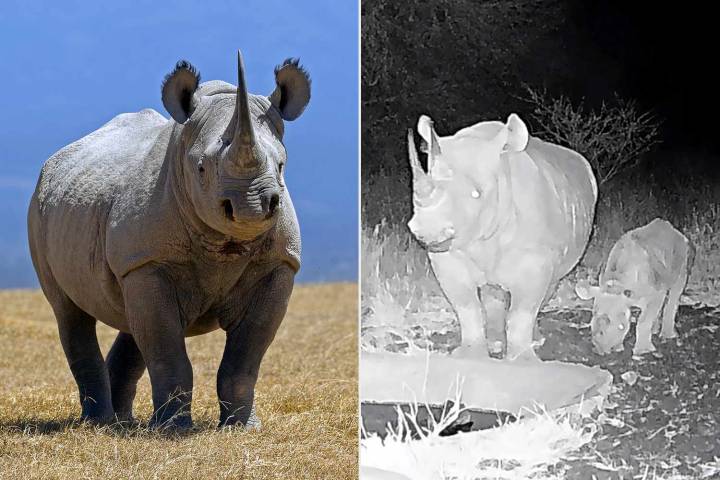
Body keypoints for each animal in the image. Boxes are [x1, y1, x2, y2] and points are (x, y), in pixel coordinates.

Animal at [27, 50, 310, 429]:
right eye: (201, 168)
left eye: (281, 165)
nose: (252, 206)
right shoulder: (149, 261)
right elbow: (166, 349)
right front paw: (172, 430)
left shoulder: (278, 263)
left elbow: (246, 356)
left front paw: (242, 428)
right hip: (39, 209)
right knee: (70, 313)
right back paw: (100, 423)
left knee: (131, 319)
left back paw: (123, 423)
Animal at [407, 114, 597, 361]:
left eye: (477, 194)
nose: (427, 231)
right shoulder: (448, 255)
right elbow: (466, 306)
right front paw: (469, 355)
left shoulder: (535, 258)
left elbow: (522, 312)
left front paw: (522, 360)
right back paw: (496, 342)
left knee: (552, 281)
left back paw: (534, 340)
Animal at [575, 218, 693, 356]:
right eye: (593, 317)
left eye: (620, 326)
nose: (599, 350)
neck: (617, 285)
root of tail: (675, 231)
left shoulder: (655, 293)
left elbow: (644, 321)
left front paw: (642, 351)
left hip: (684, 253)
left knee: (676, 289)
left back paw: (667, 335)